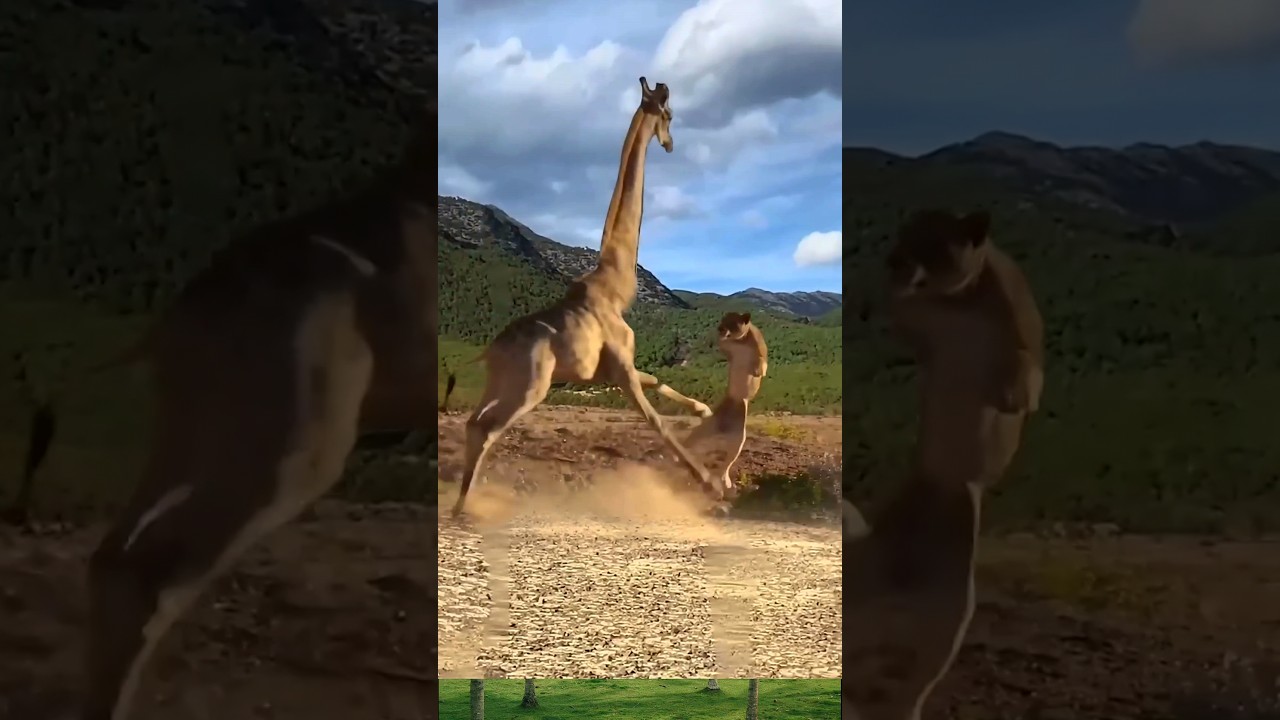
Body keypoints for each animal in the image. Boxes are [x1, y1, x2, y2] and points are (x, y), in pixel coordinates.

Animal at [448, 77, 723, 517]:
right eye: (668, 114)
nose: (670, 144)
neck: (616, 290)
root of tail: (491, 351)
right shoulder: (621, 368)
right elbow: (657, 422)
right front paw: (712, 486)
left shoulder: (607, 370)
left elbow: (657, 379)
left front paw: (704, 409)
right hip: (531, 387)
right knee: (488, 429)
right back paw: (465, 508)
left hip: (498, 384)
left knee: (474, 423)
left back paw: (465, 503)